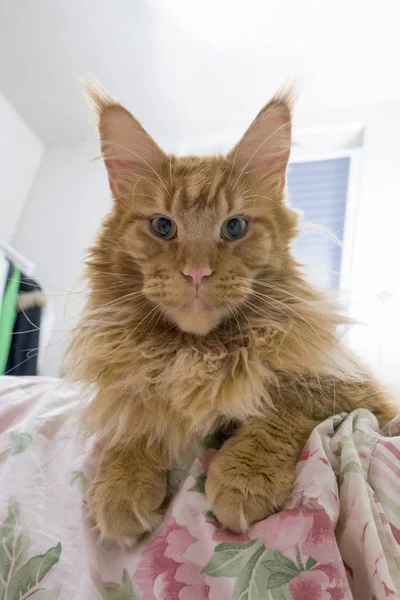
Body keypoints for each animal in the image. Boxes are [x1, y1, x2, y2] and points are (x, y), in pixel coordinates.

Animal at [65, 83, 396, 540]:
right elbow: (136, 419)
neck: (197, 355)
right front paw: (121, 485)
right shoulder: (136, 379)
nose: (197, 272)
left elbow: (285, 405)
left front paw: (244, 477)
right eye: (163, 226)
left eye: (234, 227)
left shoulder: (358, 396)